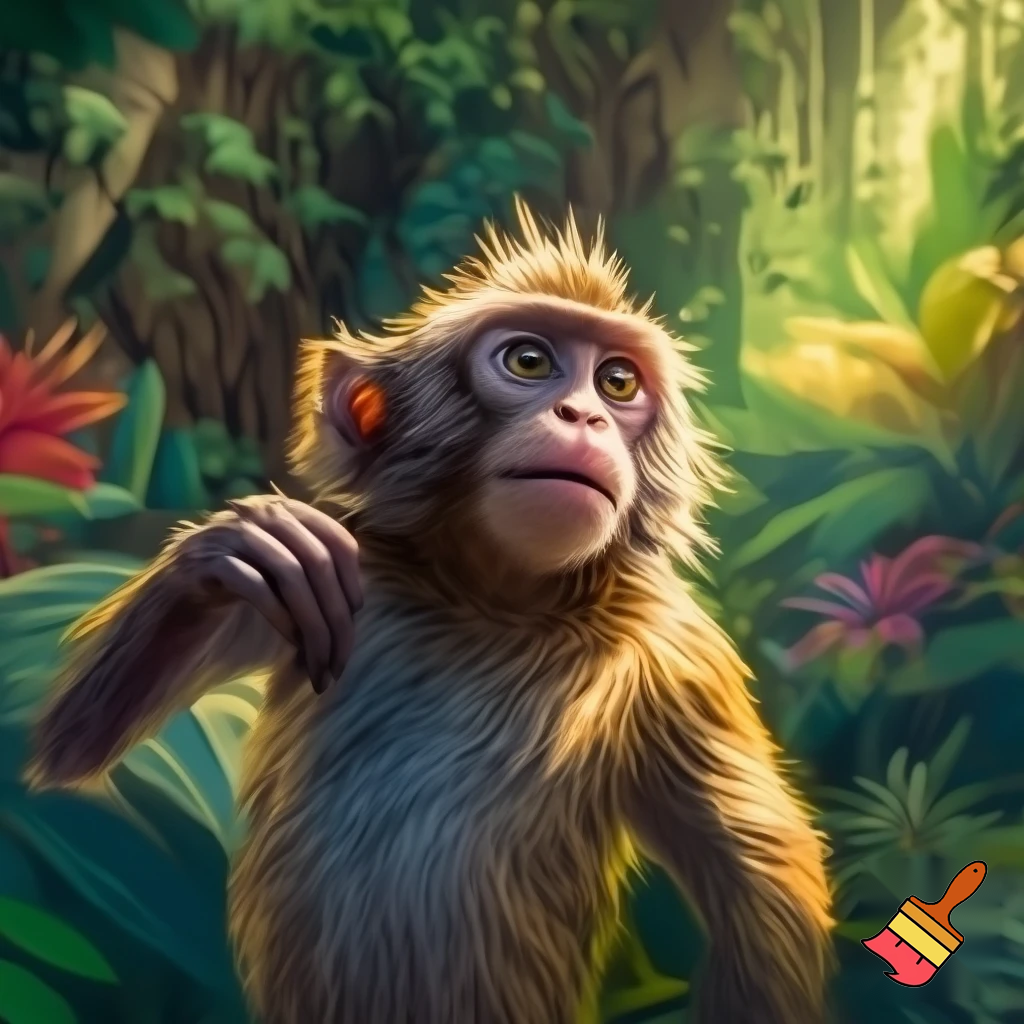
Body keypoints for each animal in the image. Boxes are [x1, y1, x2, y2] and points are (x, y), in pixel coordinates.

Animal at [25, 199, 833, 1024]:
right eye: (529, 362)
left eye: (616, 381)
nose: (584, 415)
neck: (494, 599)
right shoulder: (352, 573)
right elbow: (66, 753)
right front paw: (242, 545)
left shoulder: (678, 651)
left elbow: (761, 880)